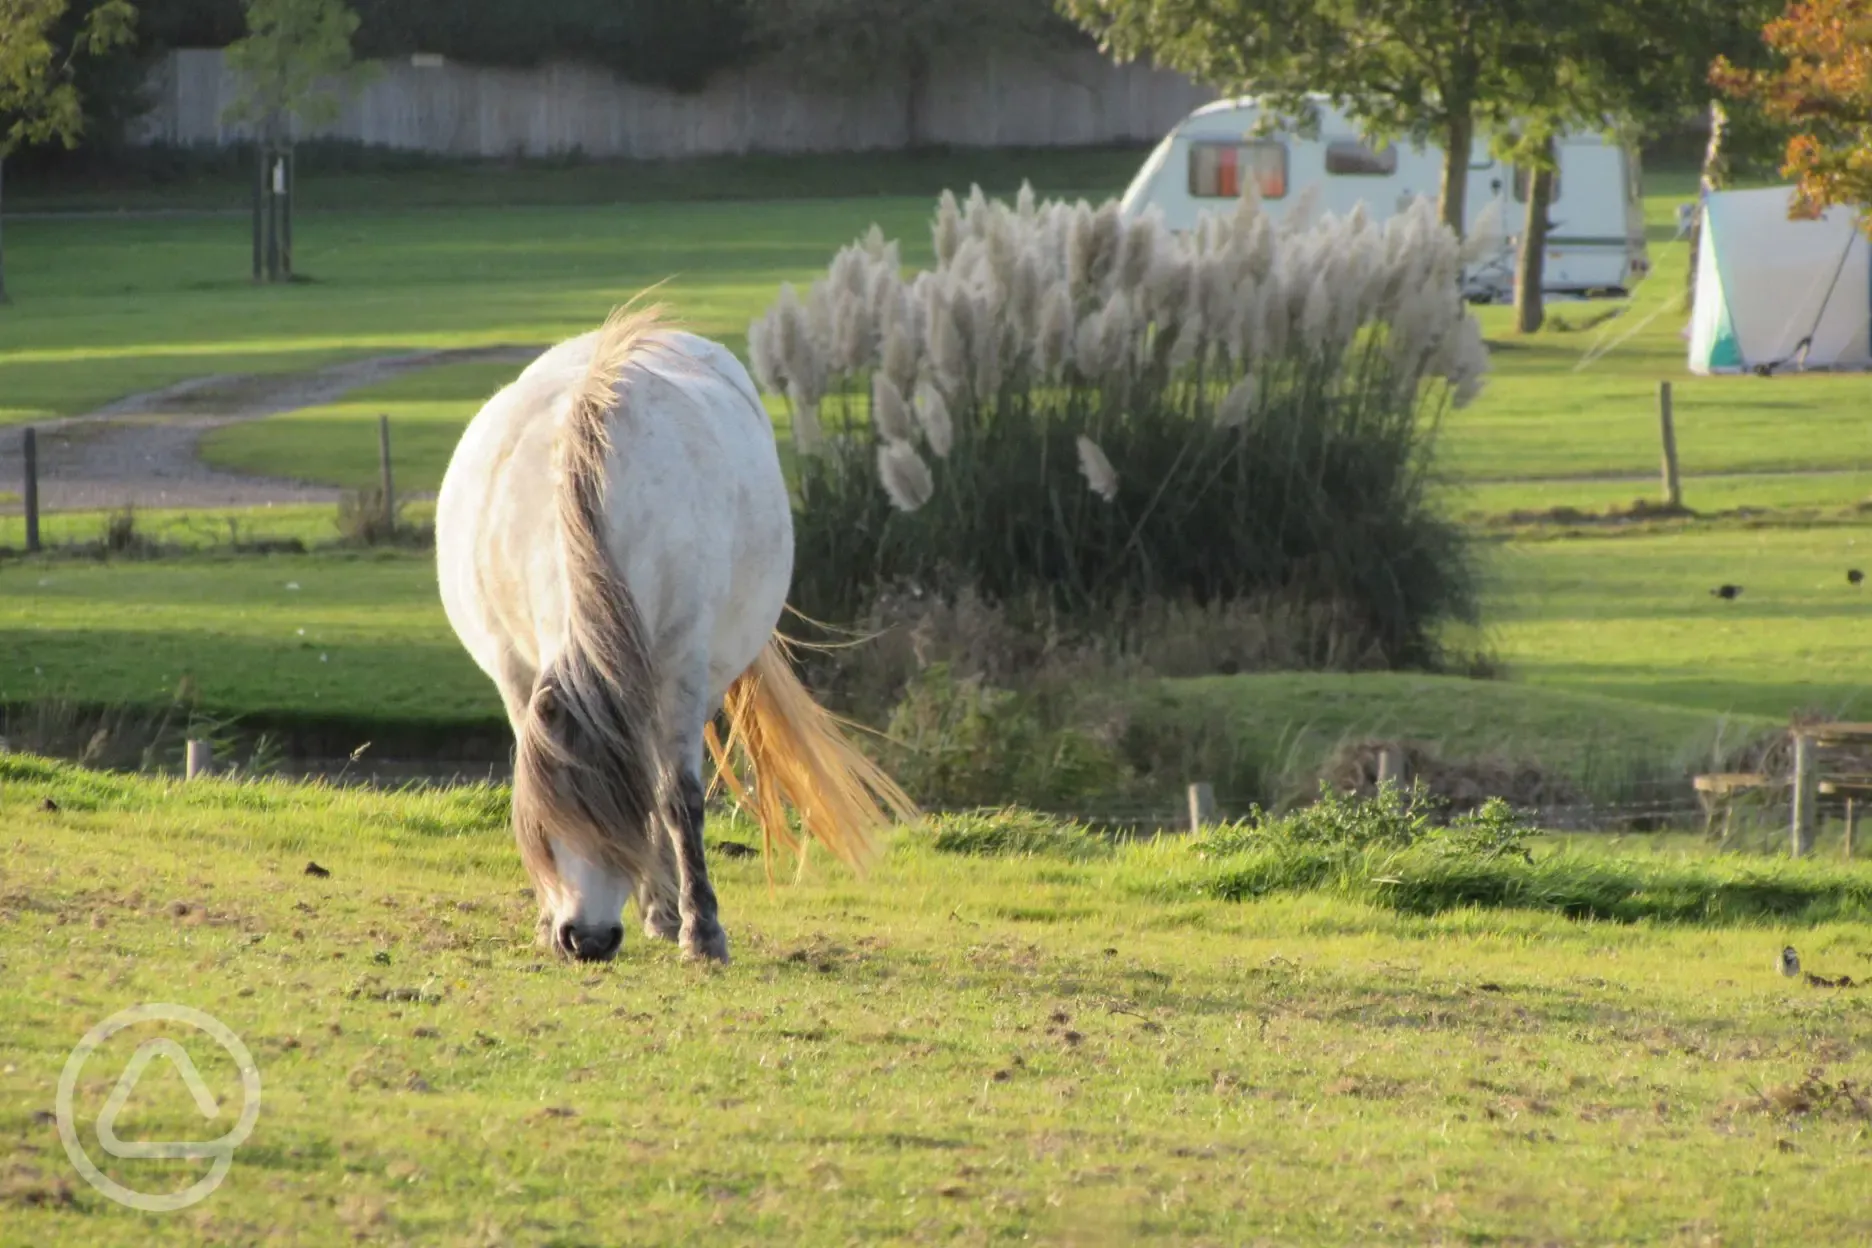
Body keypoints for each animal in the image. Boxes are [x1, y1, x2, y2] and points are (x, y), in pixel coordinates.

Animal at [436, 302, 917, 964]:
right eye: (554, 819)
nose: (586, 939)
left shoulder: (681, 670)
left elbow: (675, 796)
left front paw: (701, 929)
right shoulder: (515, 671)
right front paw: (546, 916)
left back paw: (666, 910)